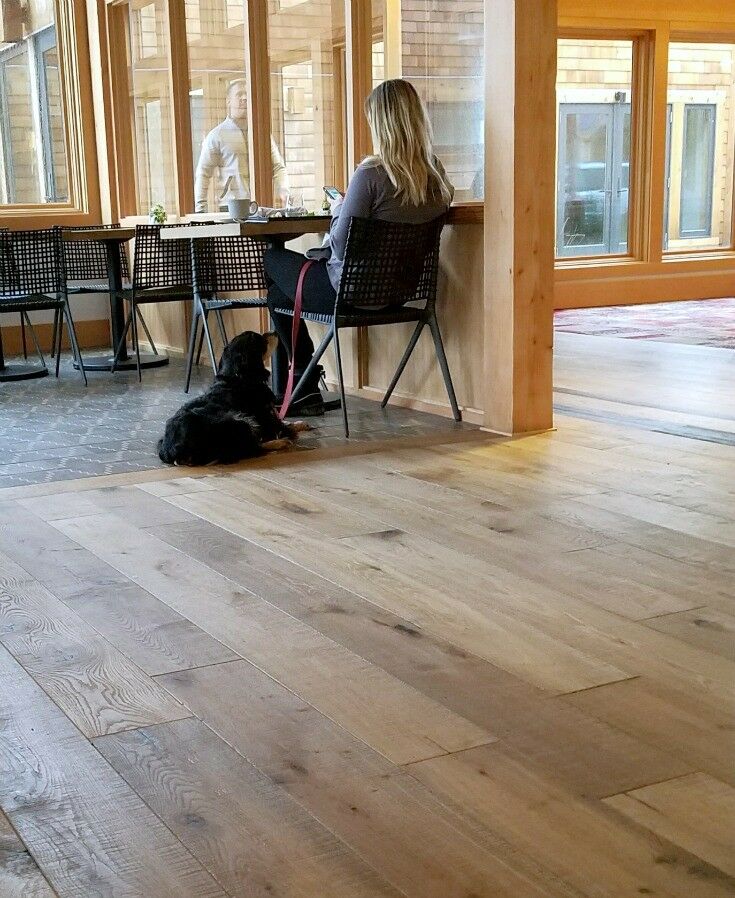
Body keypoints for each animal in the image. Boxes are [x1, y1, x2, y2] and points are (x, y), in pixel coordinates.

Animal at [158, 330, 308, 468]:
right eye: (260, 339)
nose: (274, 331)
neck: (237, 376)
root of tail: (173, 452)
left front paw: (299, 424)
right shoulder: (264, 417)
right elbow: (281, 425)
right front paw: (291, 430)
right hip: (239, 420)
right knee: (252, 449)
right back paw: (279, 443)